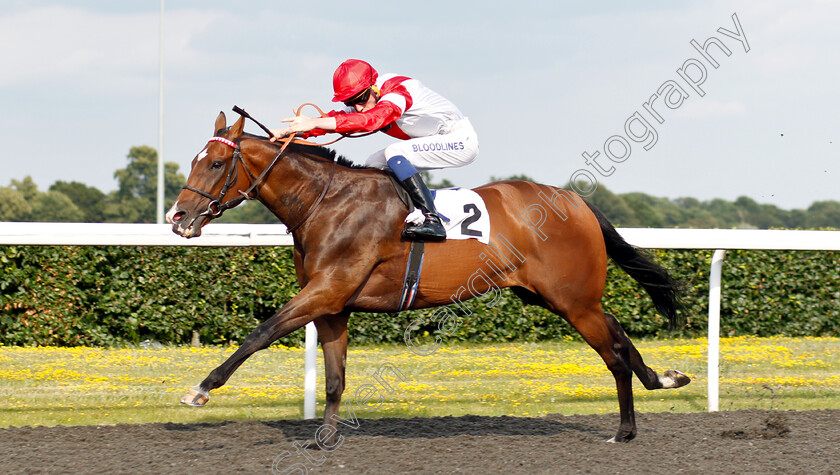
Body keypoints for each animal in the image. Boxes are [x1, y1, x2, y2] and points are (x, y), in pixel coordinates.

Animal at [166, 110, 688, 442]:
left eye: (217, 163)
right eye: (193, 161)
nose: (178, 217)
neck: (326, 203)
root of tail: (575, 201)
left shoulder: (325, 291)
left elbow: (260, 333)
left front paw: (200, 390)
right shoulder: (333, 305)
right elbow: (334, 378)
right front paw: (324, 437)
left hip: (572, 299)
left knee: (613, 352)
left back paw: (625, 431)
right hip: (551, 296)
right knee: (618, 333)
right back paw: (663, 380)